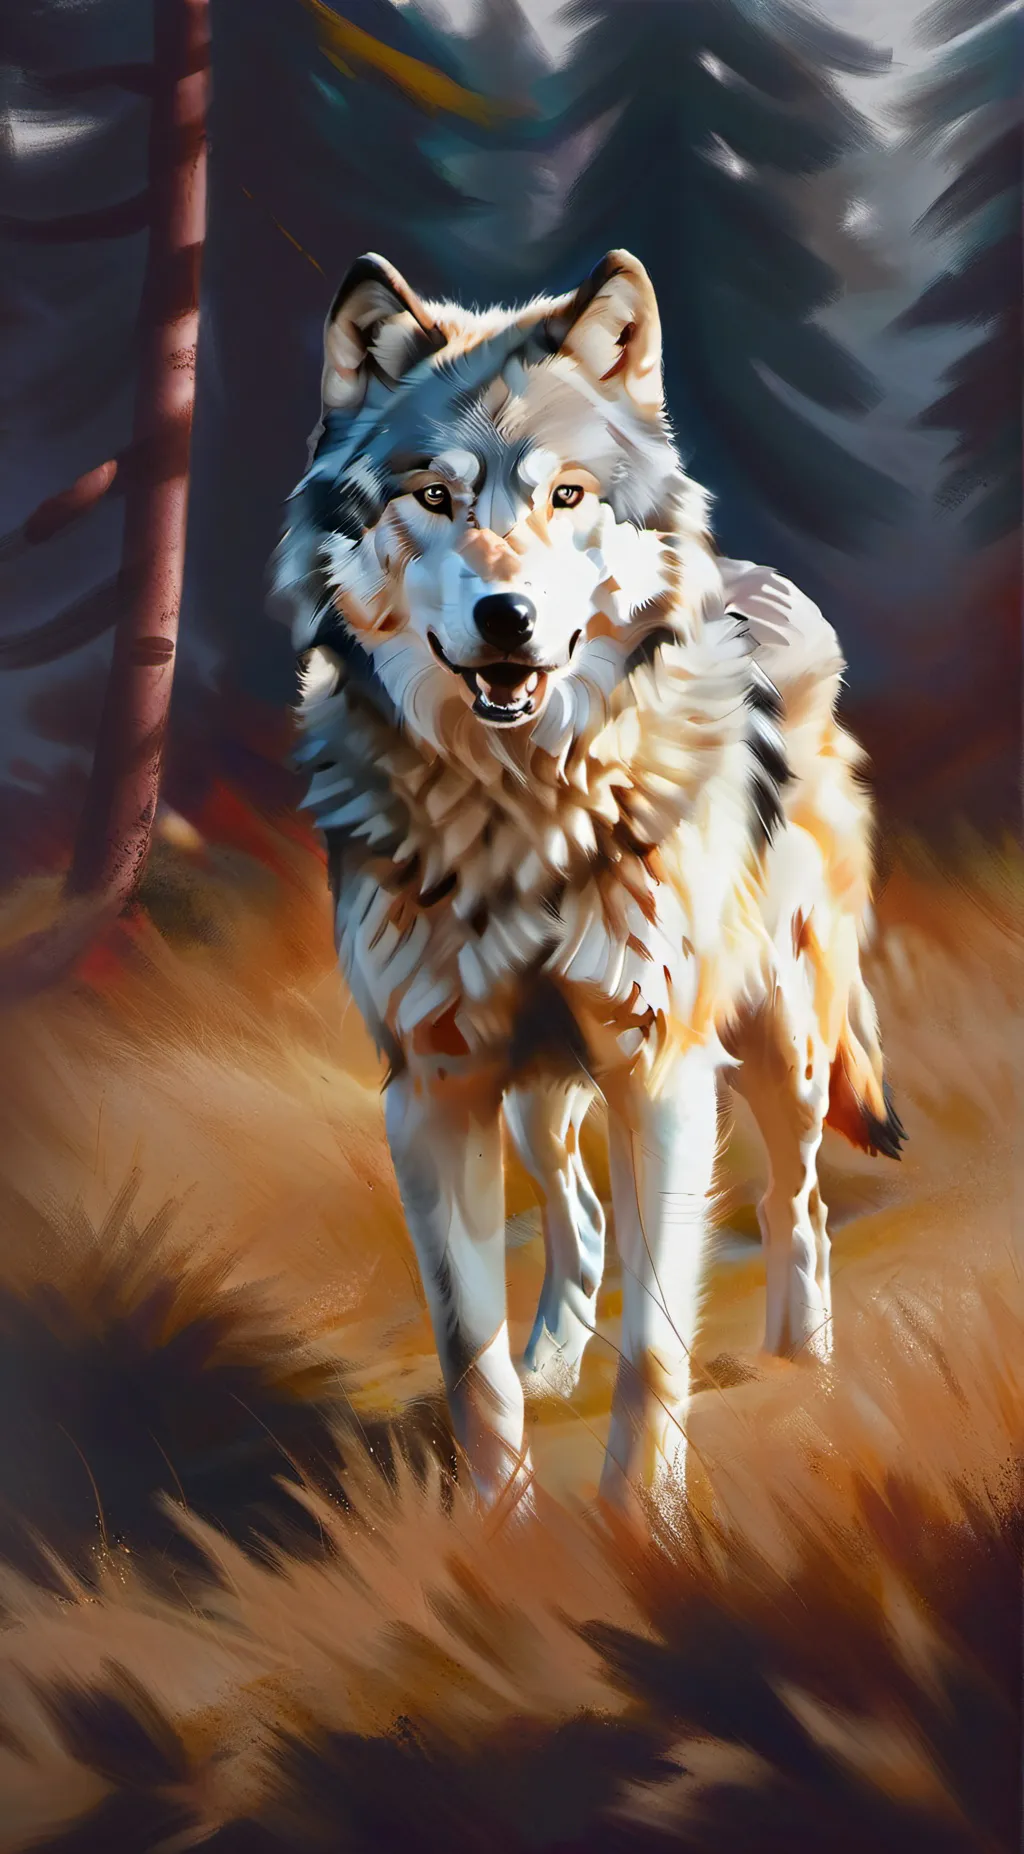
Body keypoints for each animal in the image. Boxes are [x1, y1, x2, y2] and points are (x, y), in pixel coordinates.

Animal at [270, 249, 903, 1515]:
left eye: (565, 497)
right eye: (434, 498)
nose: (505, 617)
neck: (520, 808)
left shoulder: (660, 1070)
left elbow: (657, 1339)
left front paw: (640, 1522)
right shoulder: (435, 1086)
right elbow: (468, 1356)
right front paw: (498, 1526)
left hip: (779, 1044)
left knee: (795, 1205)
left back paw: (799, 1365)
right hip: (536, 1095)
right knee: (580, 1217)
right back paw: (554, 1359)